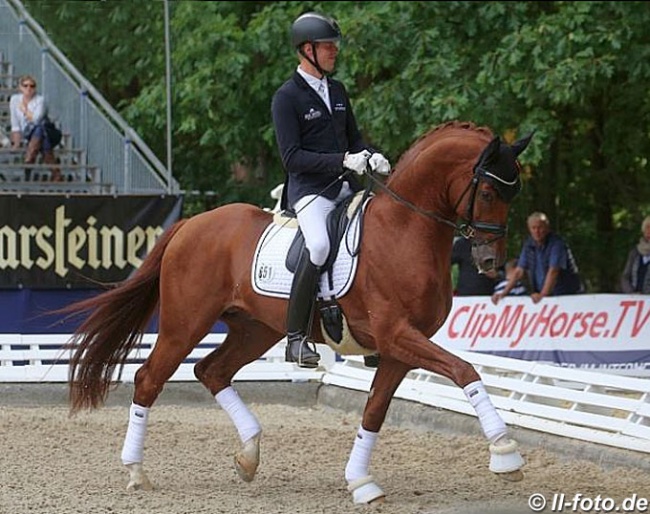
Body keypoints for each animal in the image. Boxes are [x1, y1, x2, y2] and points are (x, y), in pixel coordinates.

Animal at [64, 121, 532, 504]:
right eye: (487, 192)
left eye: (514, 193)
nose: (490, 263)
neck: (403, 231)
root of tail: (190, 225)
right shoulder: (397, 334)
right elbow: (465, 370)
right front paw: (505, 454)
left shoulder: (399, 347)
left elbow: (375, 410)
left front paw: (361, 482)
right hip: (186, 325)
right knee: (149, 379)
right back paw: (136, 472)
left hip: (255, 329)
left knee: (211, 371)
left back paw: (249, 455)